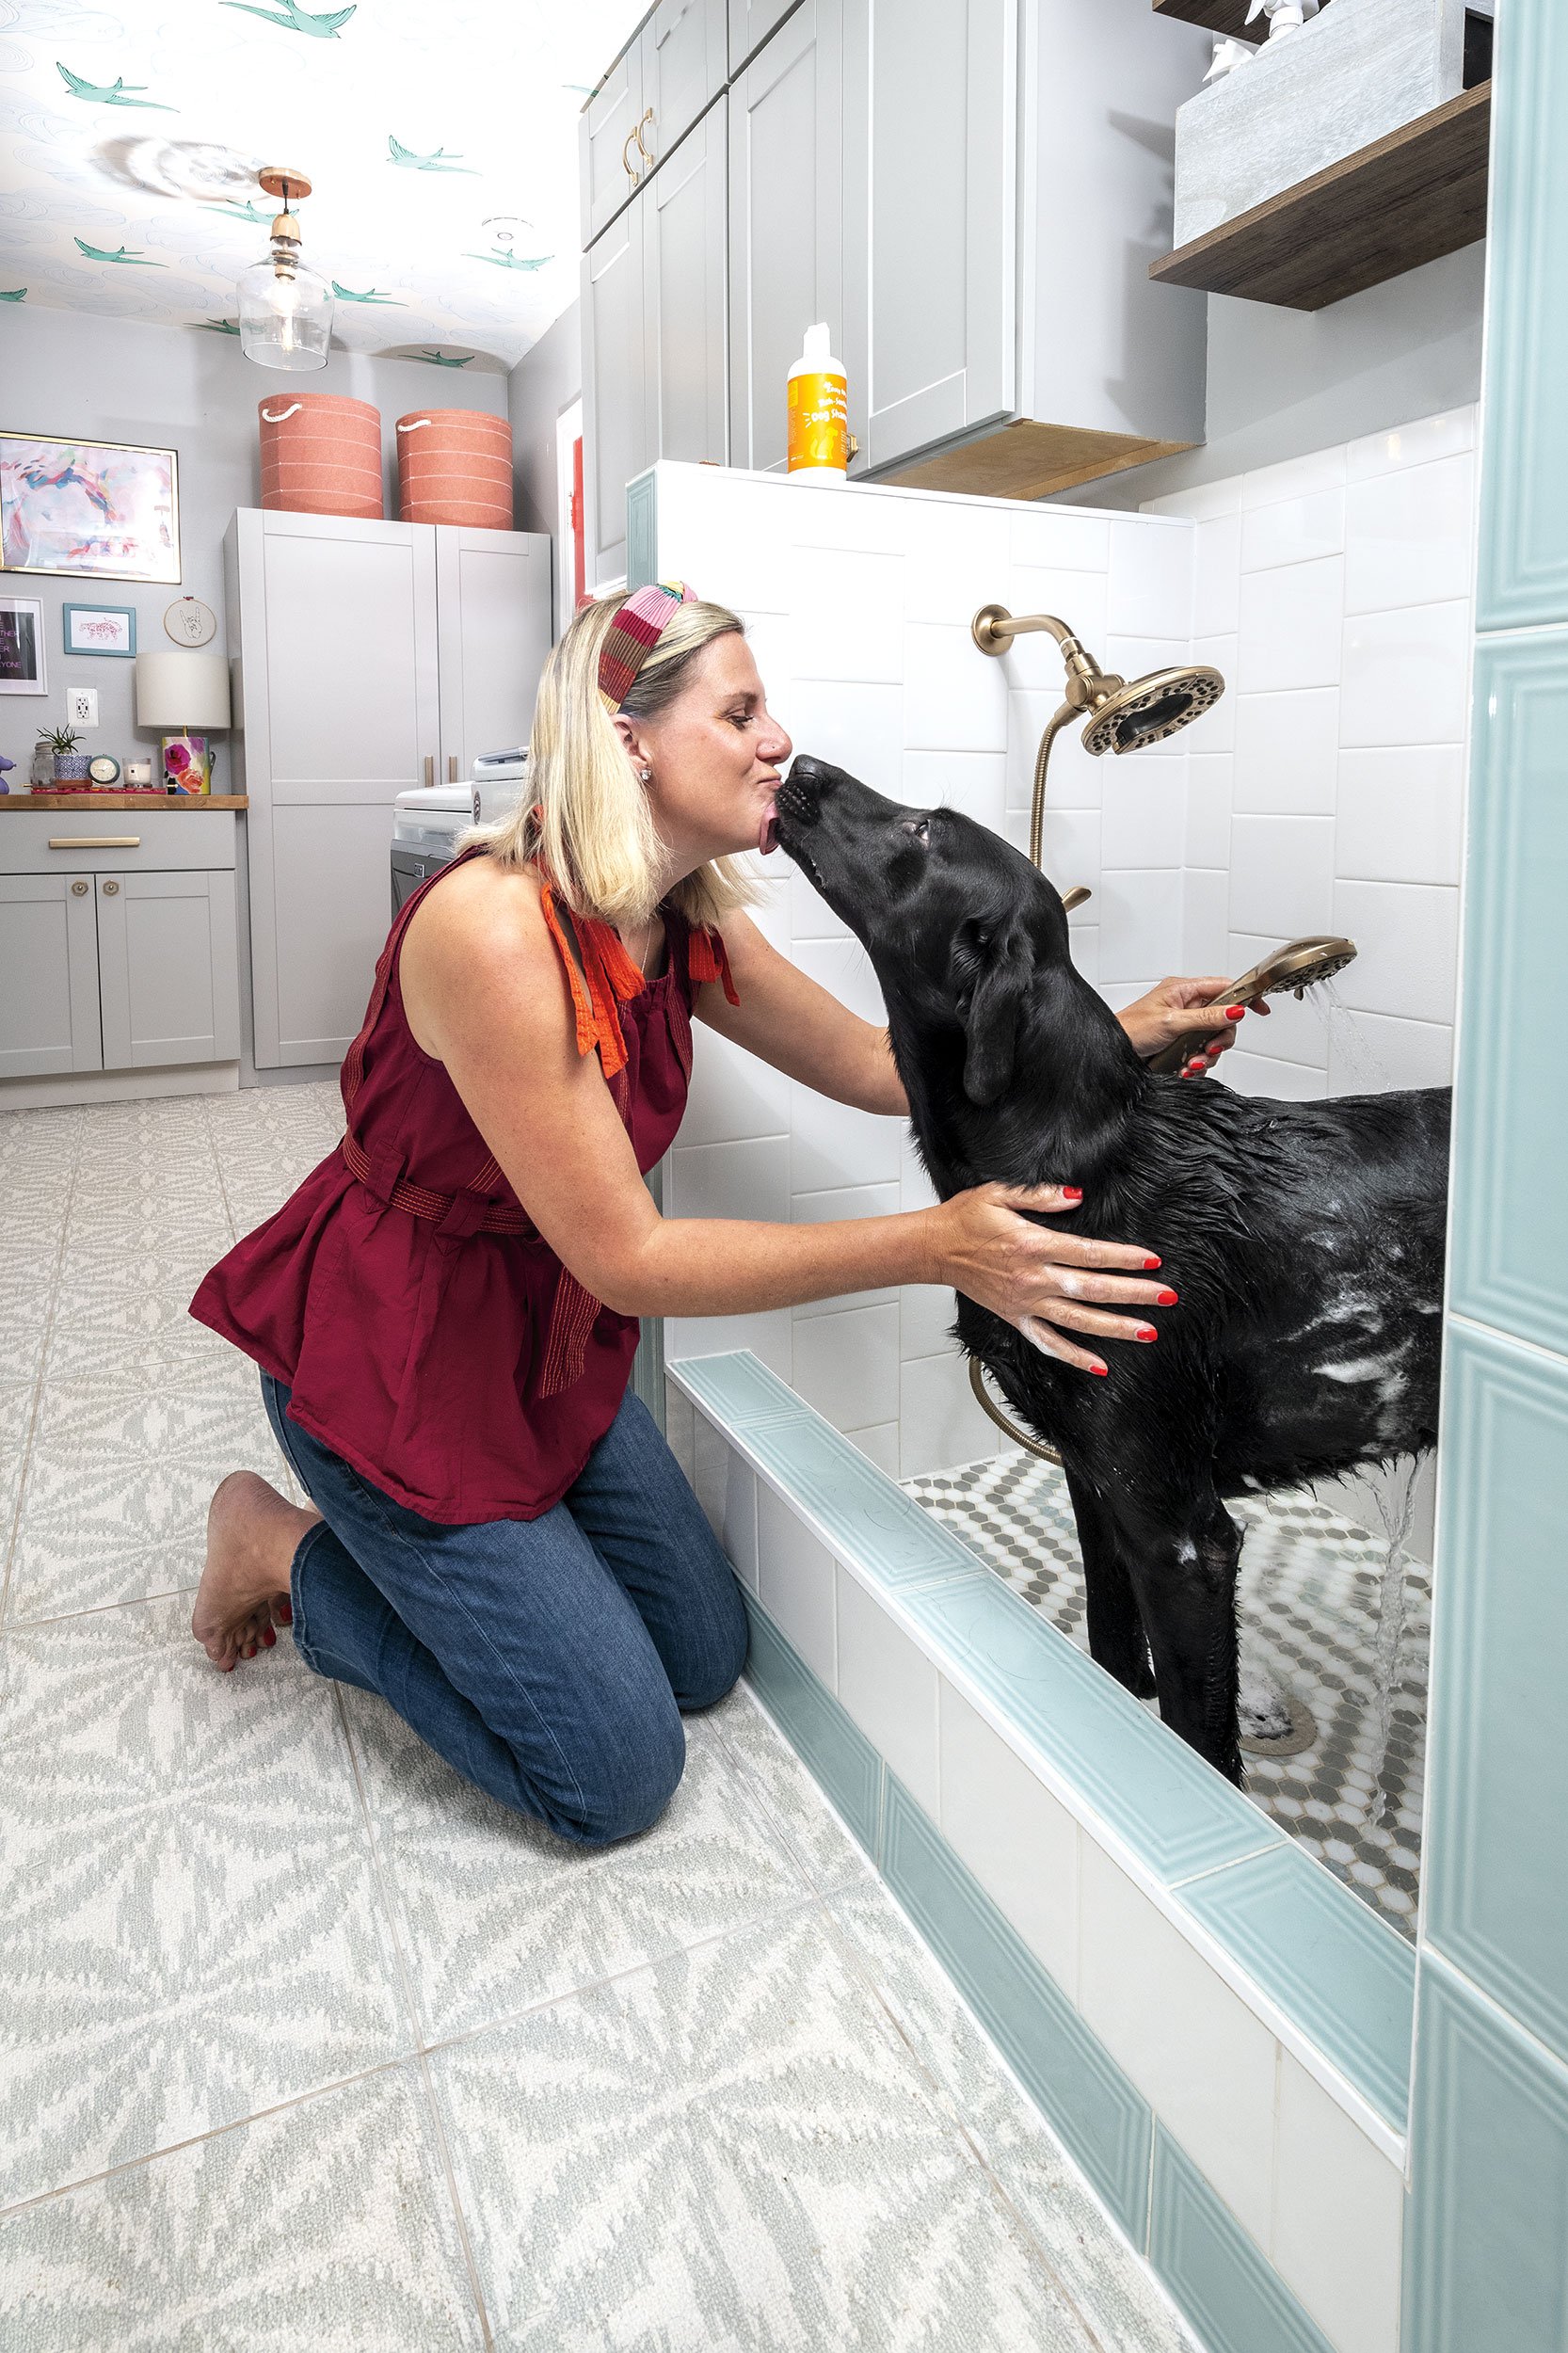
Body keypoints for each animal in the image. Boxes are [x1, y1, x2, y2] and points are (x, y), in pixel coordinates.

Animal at [776, 758, 1449, 1779]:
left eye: (925, 829)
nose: (799, 765)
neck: (1070, 1154)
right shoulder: (1093, 1484)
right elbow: (1110, 1656)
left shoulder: (1181, 1535)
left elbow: (1197, 1739)